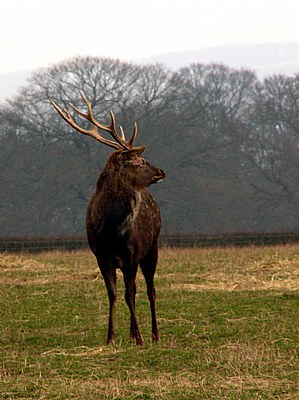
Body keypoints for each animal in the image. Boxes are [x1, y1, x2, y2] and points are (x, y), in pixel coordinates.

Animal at [50, 92, 165, 346]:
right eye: (140, 162)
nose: (162, 171)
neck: (110, 230)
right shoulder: (101, 256)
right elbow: (113, 294)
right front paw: (111, 337)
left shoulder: (131, 255)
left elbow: (129, 294)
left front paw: (139, 338)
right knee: (137, 290)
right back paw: (133, 333)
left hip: (152, 247)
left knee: (150, 290)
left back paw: (154, 334)